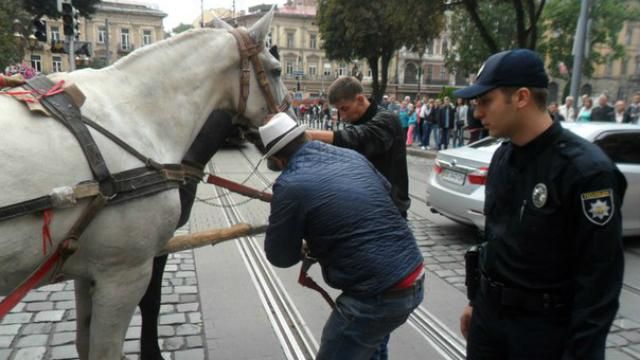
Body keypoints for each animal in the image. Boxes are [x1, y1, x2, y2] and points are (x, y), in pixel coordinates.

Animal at [0, 11, 288, 360]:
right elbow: (147, 306)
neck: (137, 113)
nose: (295, 132)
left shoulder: (87, 268)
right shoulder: (126, 273)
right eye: (276, 70)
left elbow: (85, 341)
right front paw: (152, 352)